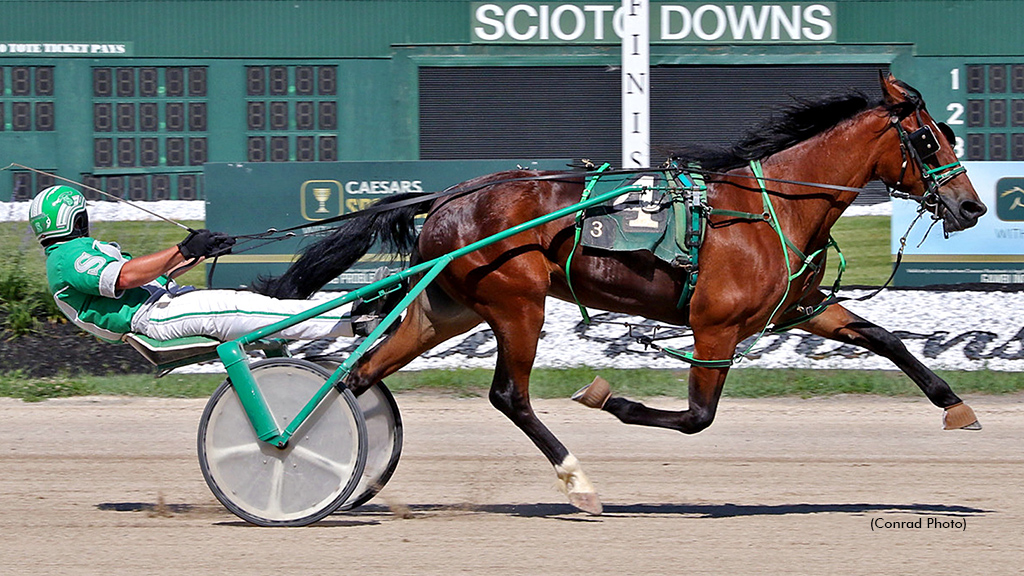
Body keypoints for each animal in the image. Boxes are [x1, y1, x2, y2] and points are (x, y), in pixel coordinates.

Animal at [254, 73, 987, 514]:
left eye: (949, 134)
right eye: (927, 140)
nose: (971, 206)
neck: (768, 208)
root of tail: (448, 197)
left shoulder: (801, 308)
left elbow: (886, 339)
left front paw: (956, 407)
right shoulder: (716, 326)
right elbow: (697, 417)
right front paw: (609, 398)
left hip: (447, 308)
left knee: (357, 377)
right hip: (517, 304)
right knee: (509, 396)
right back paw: (576, 480)